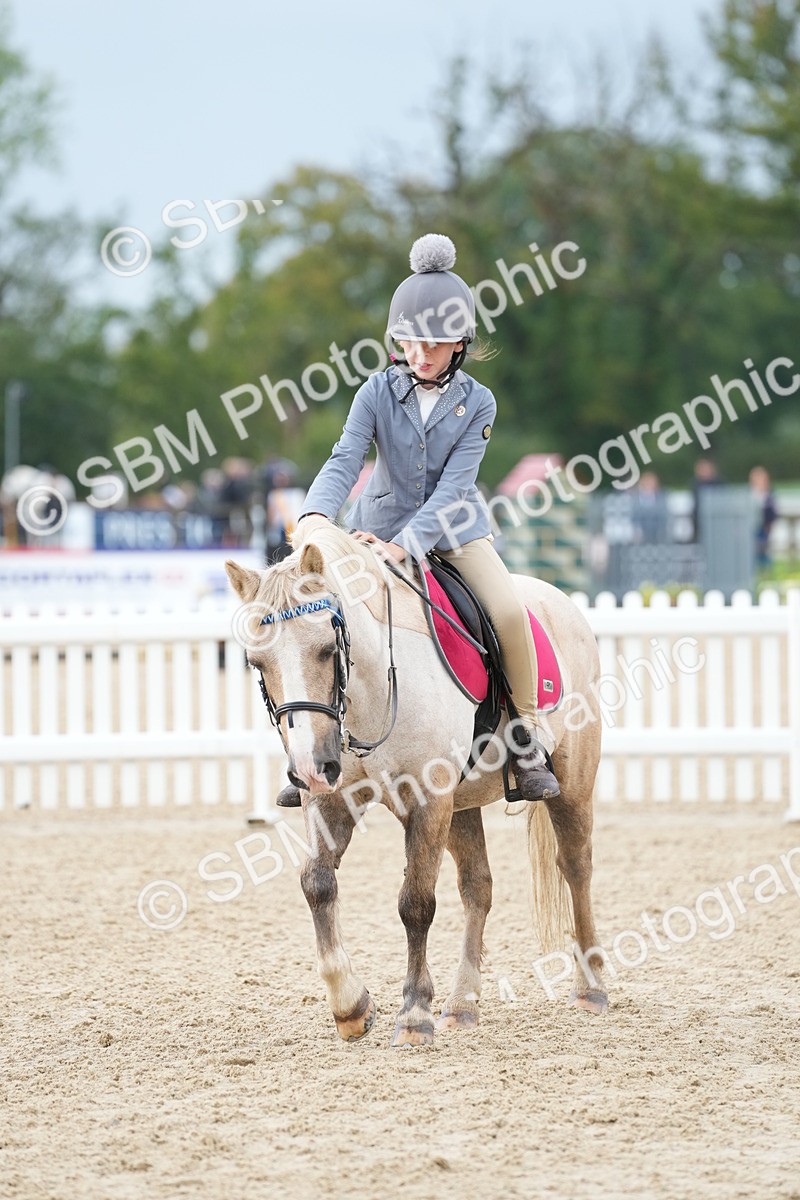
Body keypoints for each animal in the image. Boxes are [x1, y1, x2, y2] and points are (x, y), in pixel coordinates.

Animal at [226, 515, 607, 1047]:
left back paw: (591, 988)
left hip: (571, 783)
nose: (307, 768)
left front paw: (413, 1015)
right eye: (257, 664)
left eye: (326, 650)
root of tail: (561, 600)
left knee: (576, 867)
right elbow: (317, 883)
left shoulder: (428, 799)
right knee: (478, 888)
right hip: (462, 803)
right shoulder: (332, 800)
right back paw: (462, 1004)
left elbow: (416, 903)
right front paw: (351, 1006)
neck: (369, 693)